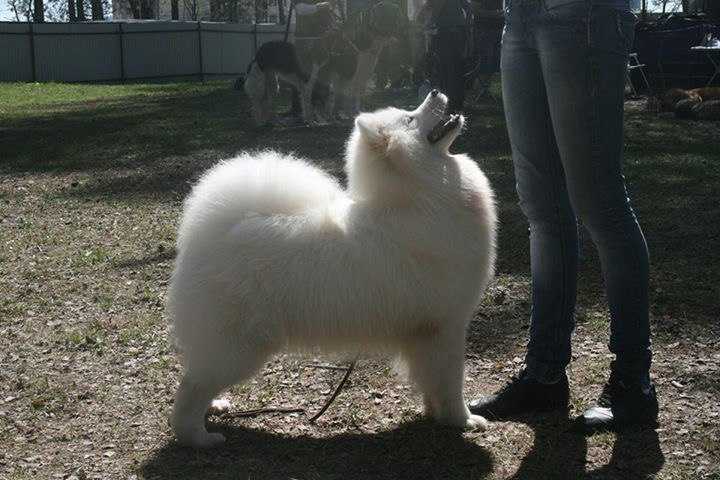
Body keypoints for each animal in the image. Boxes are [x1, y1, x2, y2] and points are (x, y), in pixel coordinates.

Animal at [168, 91, 496, 450]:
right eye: (410, 117)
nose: (435, 92)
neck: (421, 197)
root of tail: (215, 230)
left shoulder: (424, 333)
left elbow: (430, 382)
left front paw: (435, 414)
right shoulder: (446, 326)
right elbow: (451, 381)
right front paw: (463, 420)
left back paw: (214, 406)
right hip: (239, 347)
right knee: (189, 390)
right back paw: (198, 436)